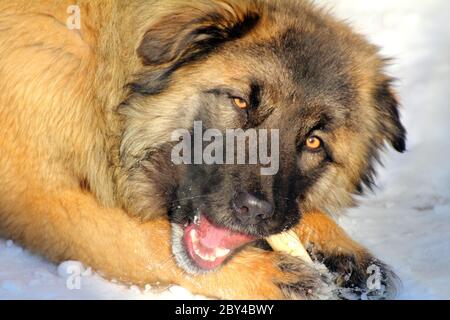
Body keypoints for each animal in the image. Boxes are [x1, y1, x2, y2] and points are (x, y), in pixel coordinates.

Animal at [0, 0, 406, 300]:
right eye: (241, 102)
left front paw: (339, 247)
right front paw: (267, 275)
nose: (254, 210)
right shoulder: (36, 198)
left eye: (313, 141)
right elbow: (143, 241)